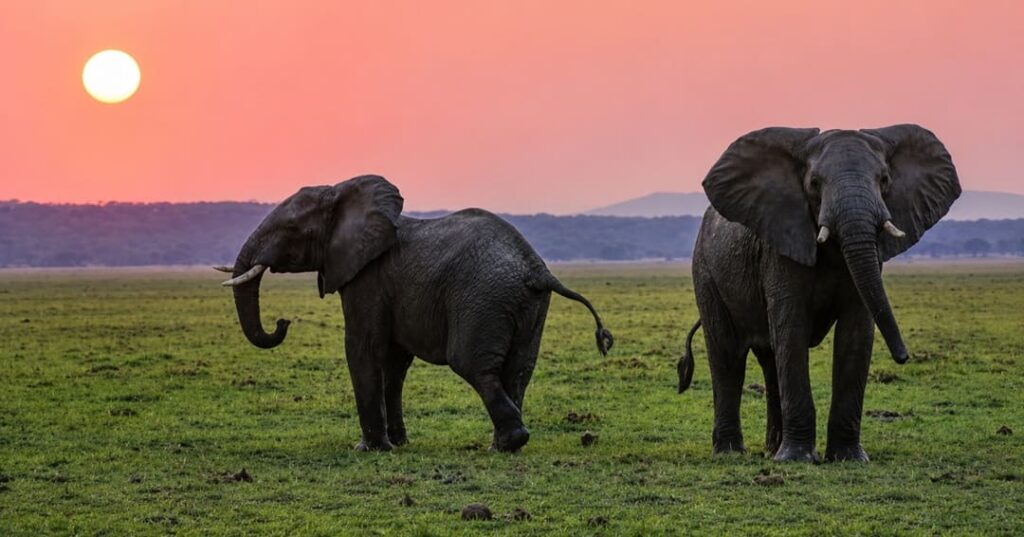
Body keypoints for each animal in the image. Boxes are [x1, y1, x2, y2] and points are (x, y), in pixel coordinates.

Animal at [217, 175, 613, 452]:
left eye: (290, 230)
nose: (283, 322)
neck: (342, 192)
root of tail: (536, 268)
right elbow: (394, 364)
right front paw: (399, 443)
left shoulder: (368, 278)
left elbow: (363, 349)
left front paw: (369, 449)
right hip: (528, 304)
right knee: (519, 370)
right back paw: (502, 445)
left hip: (482, 297)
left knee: (473, 365)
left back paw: (508, 443)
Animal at [676, 125, 960, 462]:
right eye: (814, 183)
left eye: (884, 180)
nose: (903, 357)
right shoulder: (781, 244)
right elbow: (792, 329)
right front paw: (797, 459)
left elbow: (856, 333)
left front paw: (848, 458)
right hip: (705, 271)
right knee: (728, 354)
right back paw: (731, 453)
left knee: (770, 360)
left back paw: (772, 448)